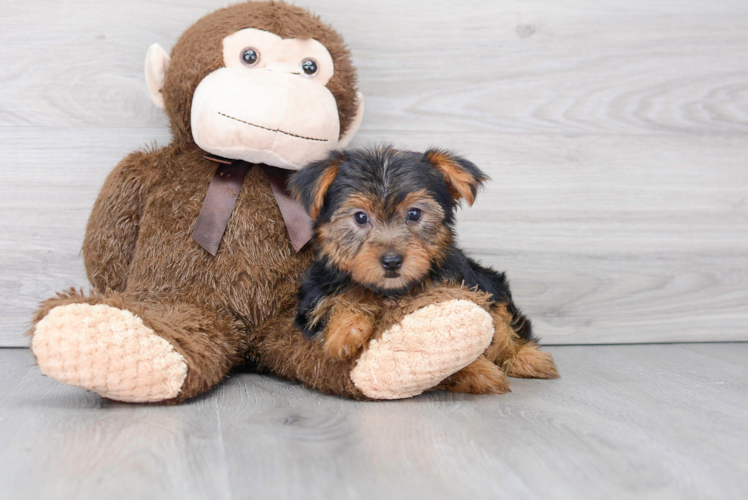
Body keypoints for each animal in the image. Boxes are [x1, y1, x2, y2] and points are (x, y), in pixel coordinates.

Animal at [290, 146, 560, 394]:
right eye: (360, 217)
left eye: (414, 213)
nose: (391, 261)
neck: (392, 290)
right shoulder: (314, 299)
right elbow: (340, 298)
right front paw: (345, 333)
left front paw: (479, 371)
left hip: (490, 283)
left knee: (505, 323)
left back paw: (527, 358)